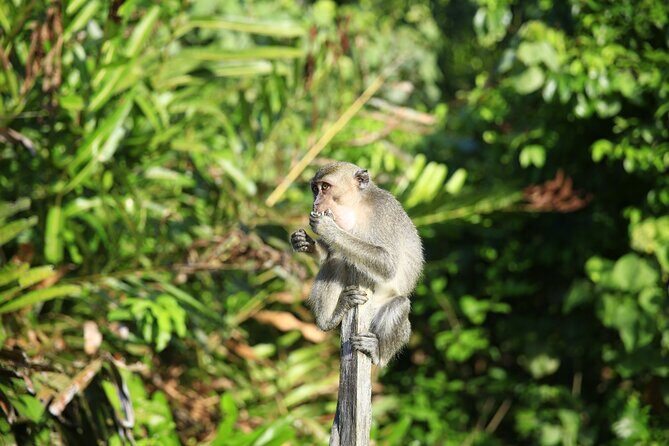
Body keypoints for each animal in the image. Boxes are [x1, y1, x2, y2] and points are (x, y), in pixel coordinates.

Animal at [290, 161, 423, 367]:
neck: (357, 206)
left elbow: (387, 264)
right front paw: (305, 243)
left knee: (399, 304)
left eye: (325, 187)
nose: (316, 202)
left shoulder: (383, 212)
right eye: (315, 189)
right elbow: (331, 252)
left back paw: (378, 354)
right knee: (336, 260)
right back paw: (330, 319)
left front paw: (327, 228)